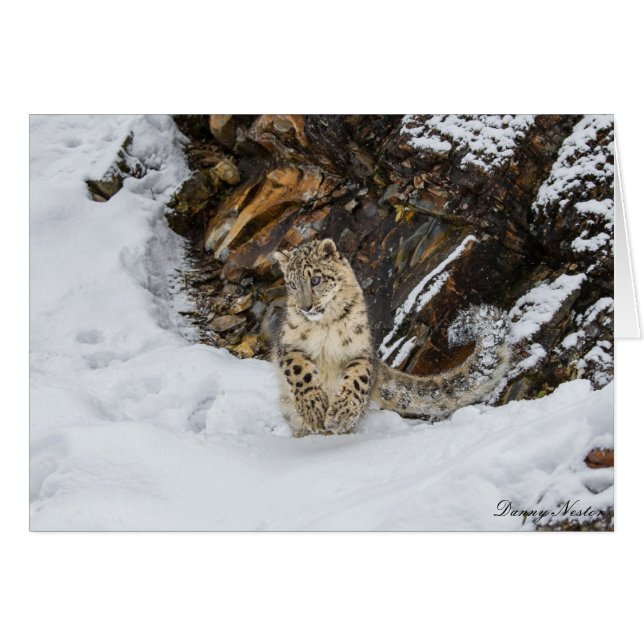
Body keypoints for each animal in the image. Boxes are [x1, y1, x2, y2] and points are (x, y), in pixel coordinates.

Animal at [272, 238, 511, 437]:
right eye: (292, 284)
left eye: (315, 280)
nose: (305, 307)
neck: (326, 324)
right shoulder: (289, 345)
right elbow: (301, 372)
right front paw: (314, 411)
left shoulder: (360, 351)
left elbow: (356, 379)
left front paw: (340, 414)